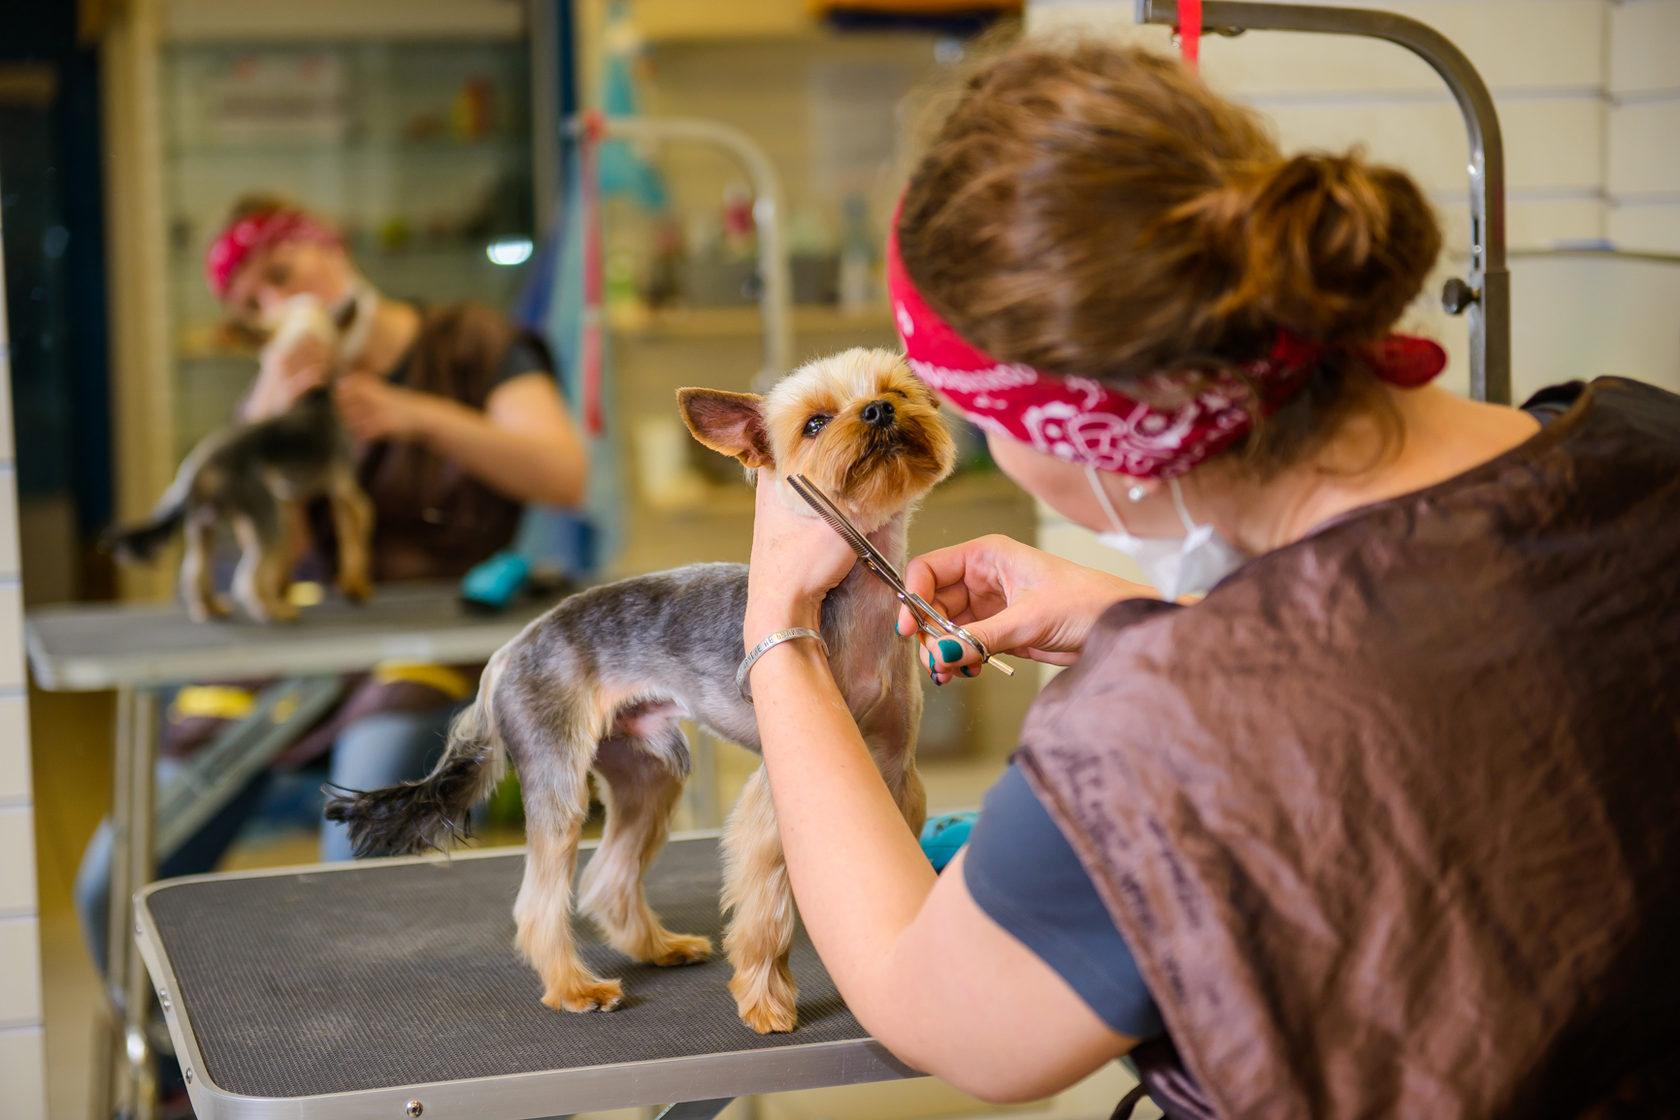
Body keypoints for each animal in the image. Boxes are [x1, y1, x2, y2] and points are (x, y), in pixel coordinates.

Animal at [324, 347, 960, 1034]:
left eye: (898, 391)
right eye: (815, 423)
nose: (878, 411)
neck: (857, 603)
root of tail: (510, 650)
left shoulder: (893, 768)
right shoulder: (781, 783)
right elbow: (766, 907)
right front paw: (766, 1001)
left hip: (646, 768)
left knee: (607, 875)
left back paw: (659, 947)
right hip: (558, 772)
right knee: (540, 900)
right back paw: (574, 986)